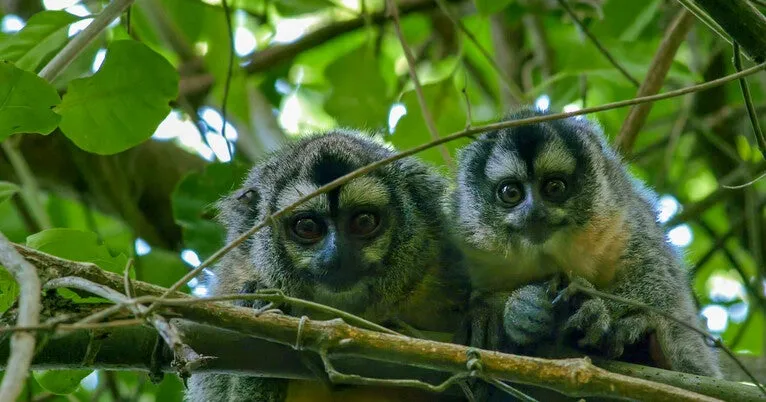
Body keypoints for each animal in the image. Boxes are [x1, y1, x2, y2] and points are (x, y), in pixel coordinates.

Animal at [447, 107, 722, 382]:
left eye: (554, 187)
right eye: (511, 193)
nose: (534, 213)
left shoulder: (622, 215)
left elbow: (659, 277)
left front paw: (597, 311)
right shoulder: (468, 239)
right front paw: (514, 309)